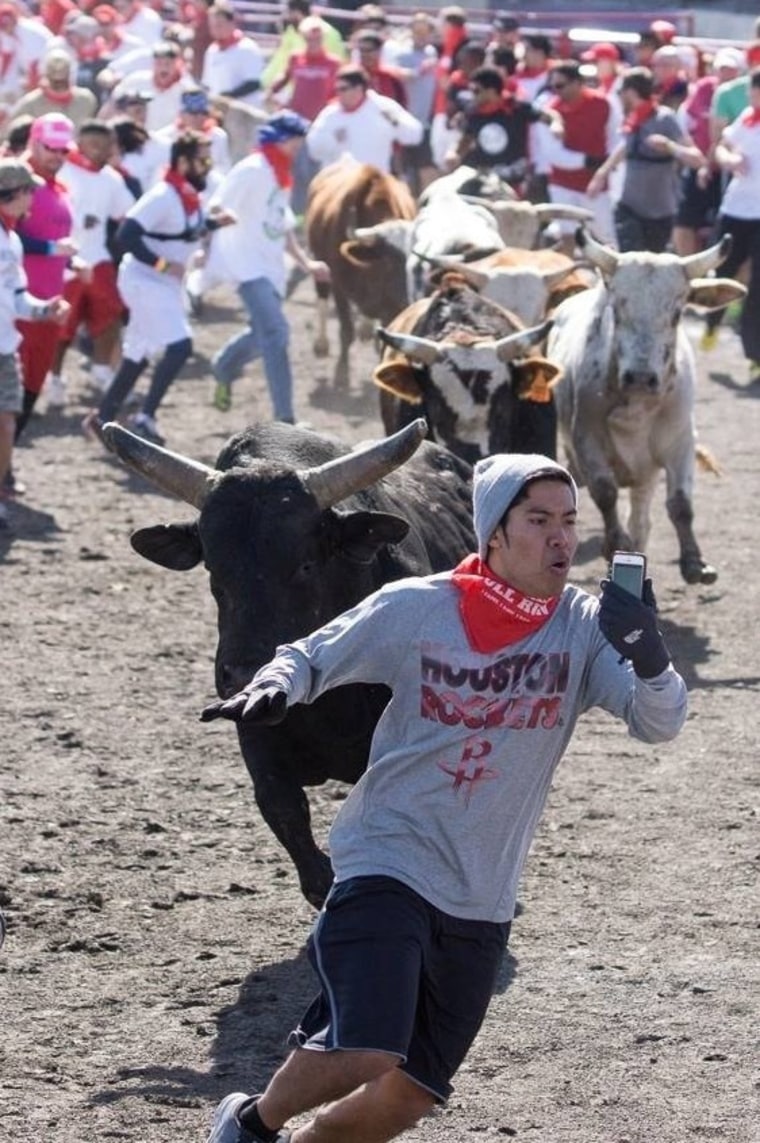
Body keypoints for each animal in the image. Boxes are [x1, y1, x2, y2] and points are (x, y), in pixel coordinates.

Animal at [546, 233, 745, 589]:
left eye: (678, 312)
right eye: (617, 307)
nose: (640, 377)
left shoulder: (680, 442)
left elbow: (680, 504)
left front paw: (694, 563)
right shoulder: (587, 438)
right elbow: (605, 492)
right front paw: (615, 543)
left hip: (645, 473)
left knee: (641, 519)